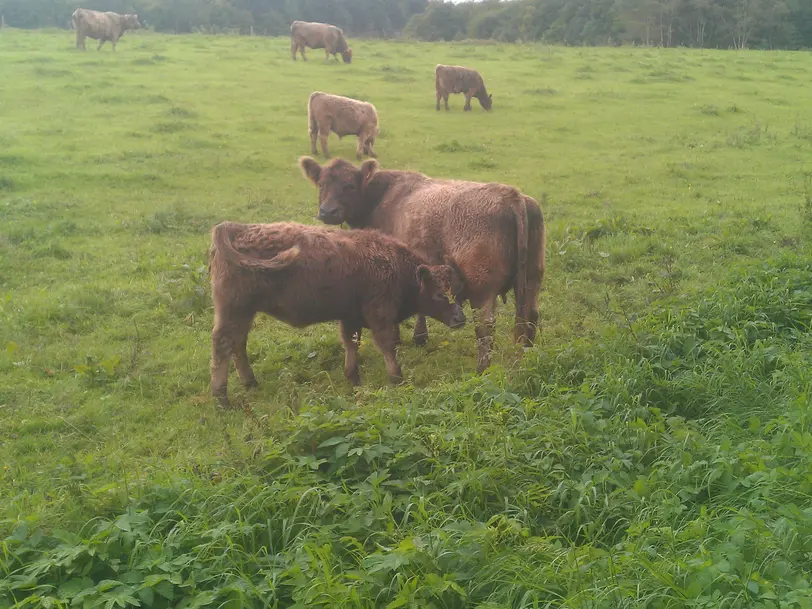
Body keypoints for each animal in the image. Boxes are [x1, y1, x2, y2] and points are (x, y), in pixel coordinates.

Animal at [206, 221, 466, 406]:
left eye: (455, 290)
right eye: (440, 294)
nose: (460, 319)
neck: (392, 263)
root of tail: (235, 227)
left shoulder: (351, 316)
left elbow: (351, 343)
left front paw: (353, 377)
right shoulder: (379, 313)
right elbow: (387, 345)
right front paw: (396, 378)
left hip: (243, 313)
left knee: (238, 344)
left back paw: (250, 382)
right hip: (235, 311)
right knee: (223, 344)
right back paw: (221, 397)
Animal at [300, 156, 544, 376]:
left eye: (349, 186)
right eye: (321, 184)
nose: (327, 211)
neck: (383, 199)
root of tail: (511, 194)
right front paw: (420, 337)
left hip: (481, 288)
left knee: (485, 326)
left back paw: (482, 370)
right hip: (532, 278)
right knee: (530, 317)